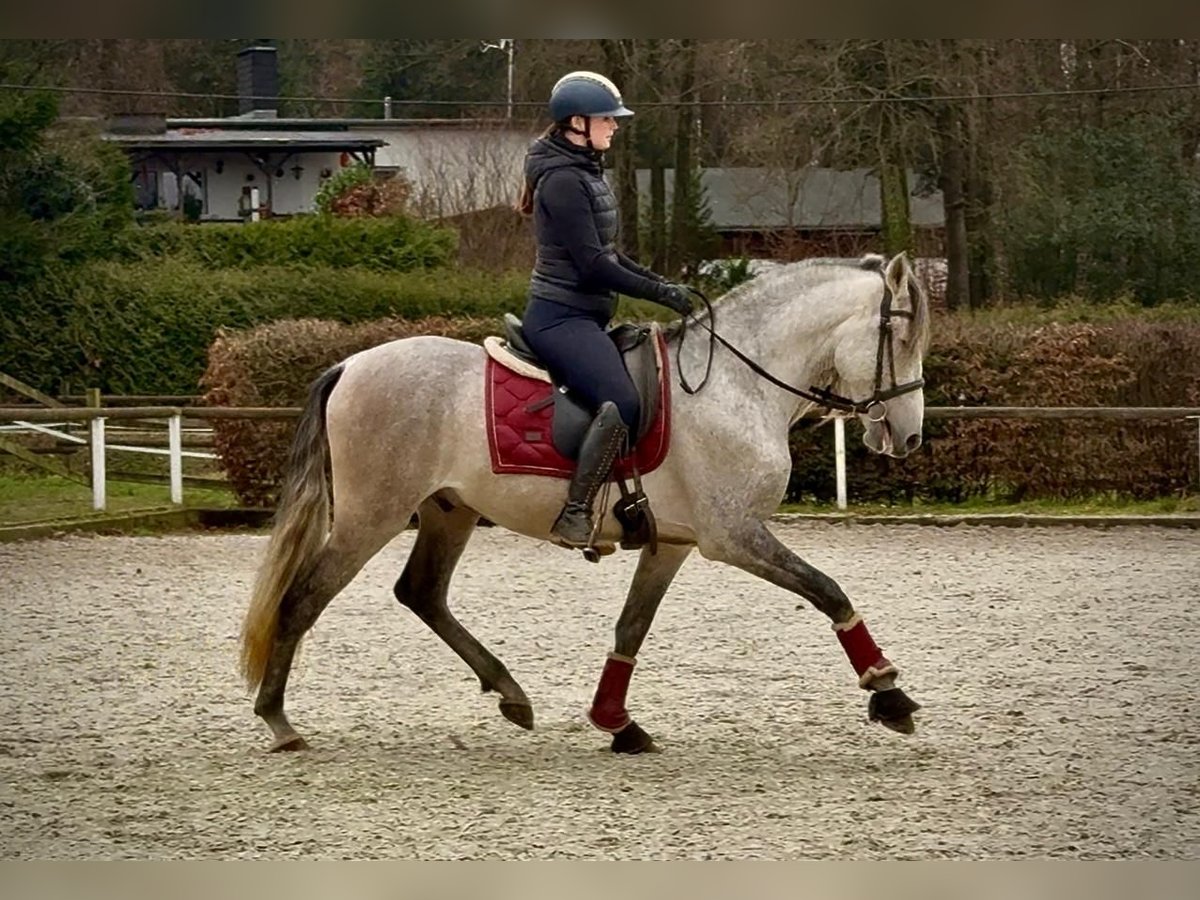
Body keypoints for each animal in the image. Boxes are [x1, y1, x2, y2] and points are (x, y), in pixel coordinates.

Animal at [239, 252, 931, 754]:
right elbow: (827, 590)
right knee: (304, 597)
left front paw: (616, 721)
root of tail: (351, 365)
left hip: (447, 509)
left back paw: (510, 694)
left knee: (422, 592)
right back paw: (278, 720)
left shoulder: (673, 542)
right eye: (900, 337)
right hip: (371, 514)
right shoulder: (733, 534)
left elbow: (631, 626)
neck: (737, 385)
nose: (909, 436)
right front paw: (887, 691)